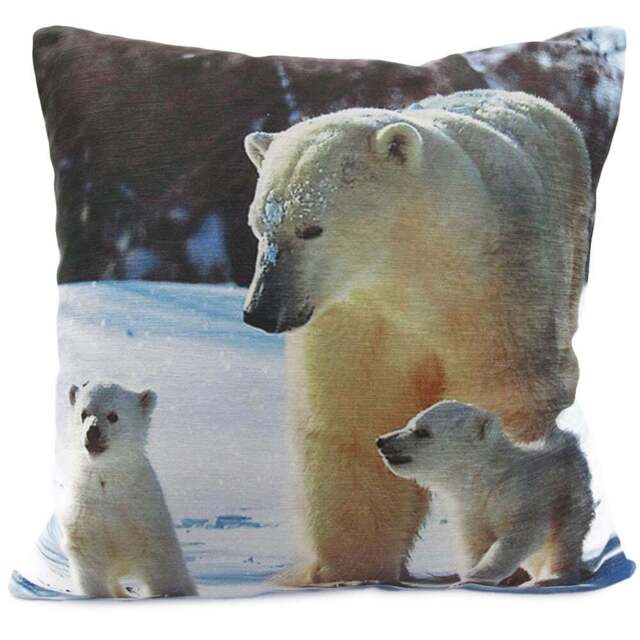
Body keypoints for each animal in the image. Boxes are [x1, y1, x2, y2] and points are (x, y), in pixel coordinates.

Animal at [57, 382, 197, 598]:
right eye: (84, 413)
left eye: (113, 415)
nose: (92, 432)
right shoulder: (85, 510)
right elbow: (89, 559)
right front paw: (99, 595)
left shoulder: (144, 514)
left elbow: (161, 562)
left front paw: (166, 594)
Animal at [376, 401, 595, 586]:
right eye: (409, 423)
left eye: (422, 431)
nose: (382, 440)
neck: (486, 479)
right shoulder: (469, 510)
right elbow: (474, 545)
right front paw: (470, 576)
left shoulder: (521, 494)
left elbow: (521, 534)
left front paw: (472, 577)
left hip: (570, 492)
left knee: (565, 540)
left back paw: (551, 578)